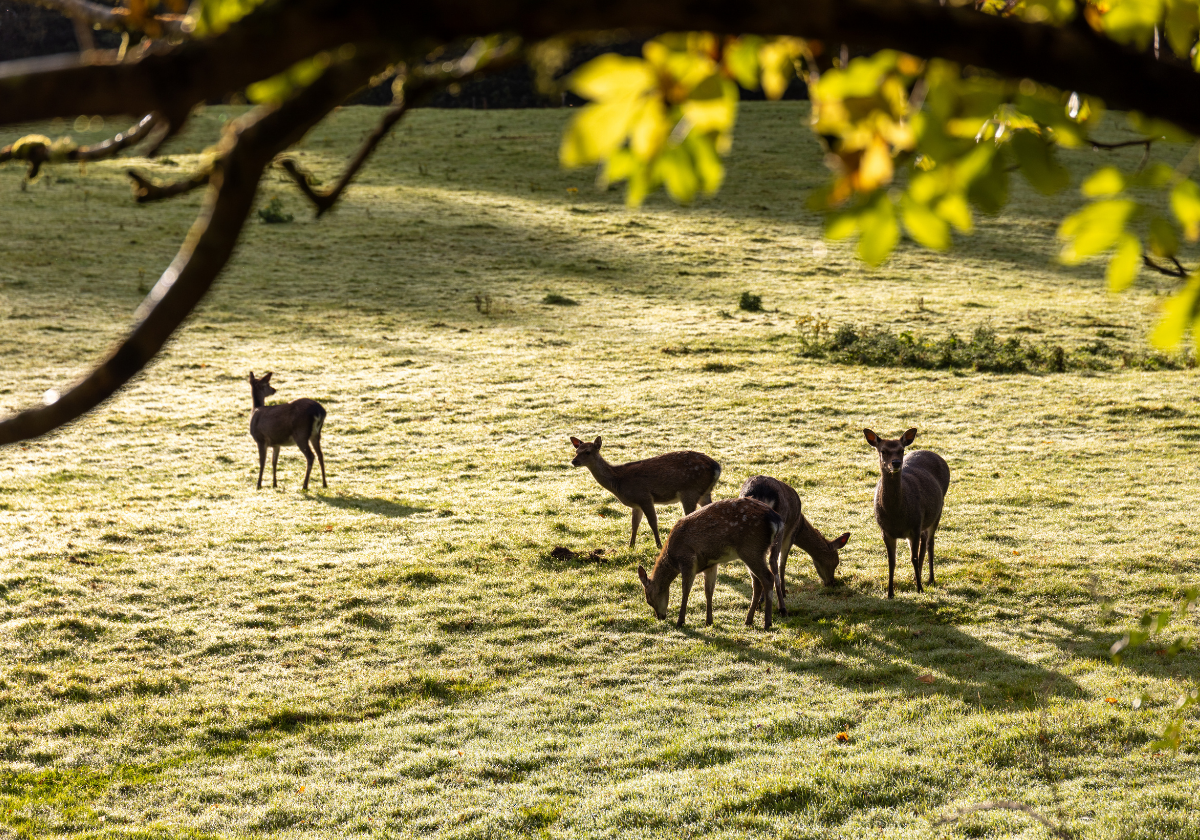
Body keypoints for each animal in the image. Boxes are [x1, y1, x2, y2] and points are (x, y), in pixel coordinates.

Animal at [569, 436, 720, 548]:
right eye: (576, 451)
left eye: (587, 452)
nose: (574, 461)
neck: (618, 481)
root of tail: (717, 467)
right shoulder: (636, 504)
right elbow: (634, 524)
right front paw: (630, 546)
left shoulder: (644, 496)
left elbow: (652, 521)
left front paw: (659, 545)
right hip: (704, 493)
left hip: (690, 491)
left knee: (691, 515)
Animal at [637, 497, 783, 629]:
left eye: (648, 599)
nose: (660, 616)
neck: (673, 558)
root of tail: (777, 521)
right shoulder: (711, 564)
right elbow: (708, 591)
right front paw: (709, 621)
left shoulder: (688, 560)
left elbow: (686, 590)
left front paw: (680, 621)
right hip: (754, 552)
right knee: (757, 583)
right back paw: (748, 620)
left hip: (751, 548)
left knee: (768, 578)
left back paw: (767, 623)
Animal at [739, 475, 850, 612]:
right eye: (836, 562)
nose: (831, 583)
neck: (800, 525)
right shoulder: (790, 533)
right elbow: (782, 562)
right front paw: (783, 591)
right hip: (780, 525)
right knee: (773, 560)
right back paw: (782, 607)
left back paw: (759, 603)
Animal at [863, 428, 950, 598]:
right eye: (883, 451)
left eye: (901, 450)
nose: (896, 463)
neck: (896, 517)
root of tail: (935, 454)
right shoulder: (885, 531)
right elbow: (891, 561)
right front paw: (890, 593)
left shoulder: (914, 526)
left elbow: (913, 558)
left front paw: (920, 589)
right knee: (925, 540)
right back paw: (918, 578)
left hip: (938, 510)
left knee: (930, 542)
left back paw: (930, 579)